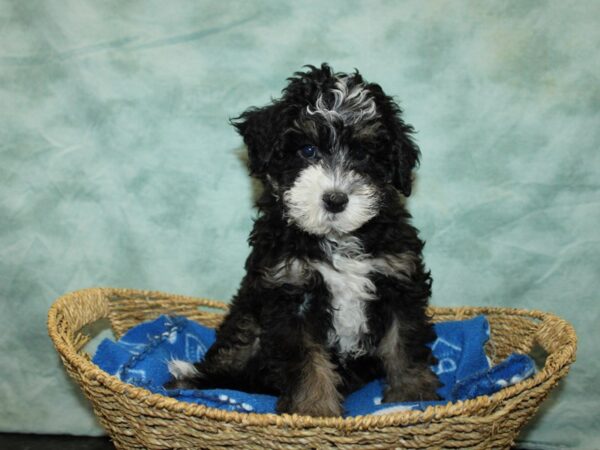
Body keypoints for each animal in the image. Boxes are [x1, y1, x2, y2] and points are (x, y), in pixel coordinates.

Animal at [166, 62, 438, 414]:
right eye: (308, 150)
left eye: (363, 155)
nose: (335, 199)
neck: (336, 239)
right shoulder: (289, 293)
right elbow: (307, 363)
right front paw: (313, 410)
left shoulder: (398, 280)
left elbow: (404, 344)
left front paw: (414, 397)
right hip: (246, 321)